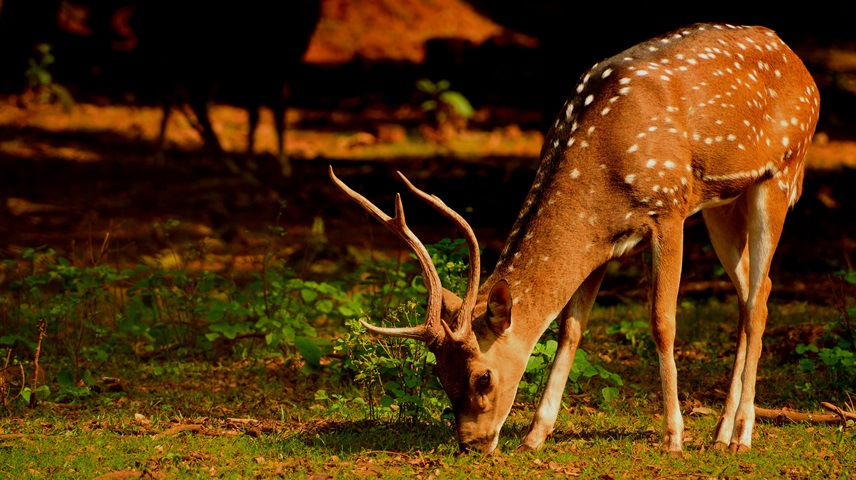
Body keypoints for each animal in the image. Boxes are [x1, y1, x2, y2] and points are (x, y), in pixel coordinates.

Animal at [330, 22, 824, 456]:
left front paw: (673, 438)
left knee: (759, 300)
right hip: (723, 203)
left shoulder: (669, 208)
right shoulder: (603, 243)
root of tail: (802, 67)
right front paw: (534, 436)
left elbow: (662, 322)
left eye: (483, 378)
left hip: (781, 173)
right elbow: (571, 327)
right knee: (752, 294)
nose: (470, 443)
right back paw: (721, 432)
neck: (600, 172)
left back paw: (742, 433)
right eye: (441, 377)